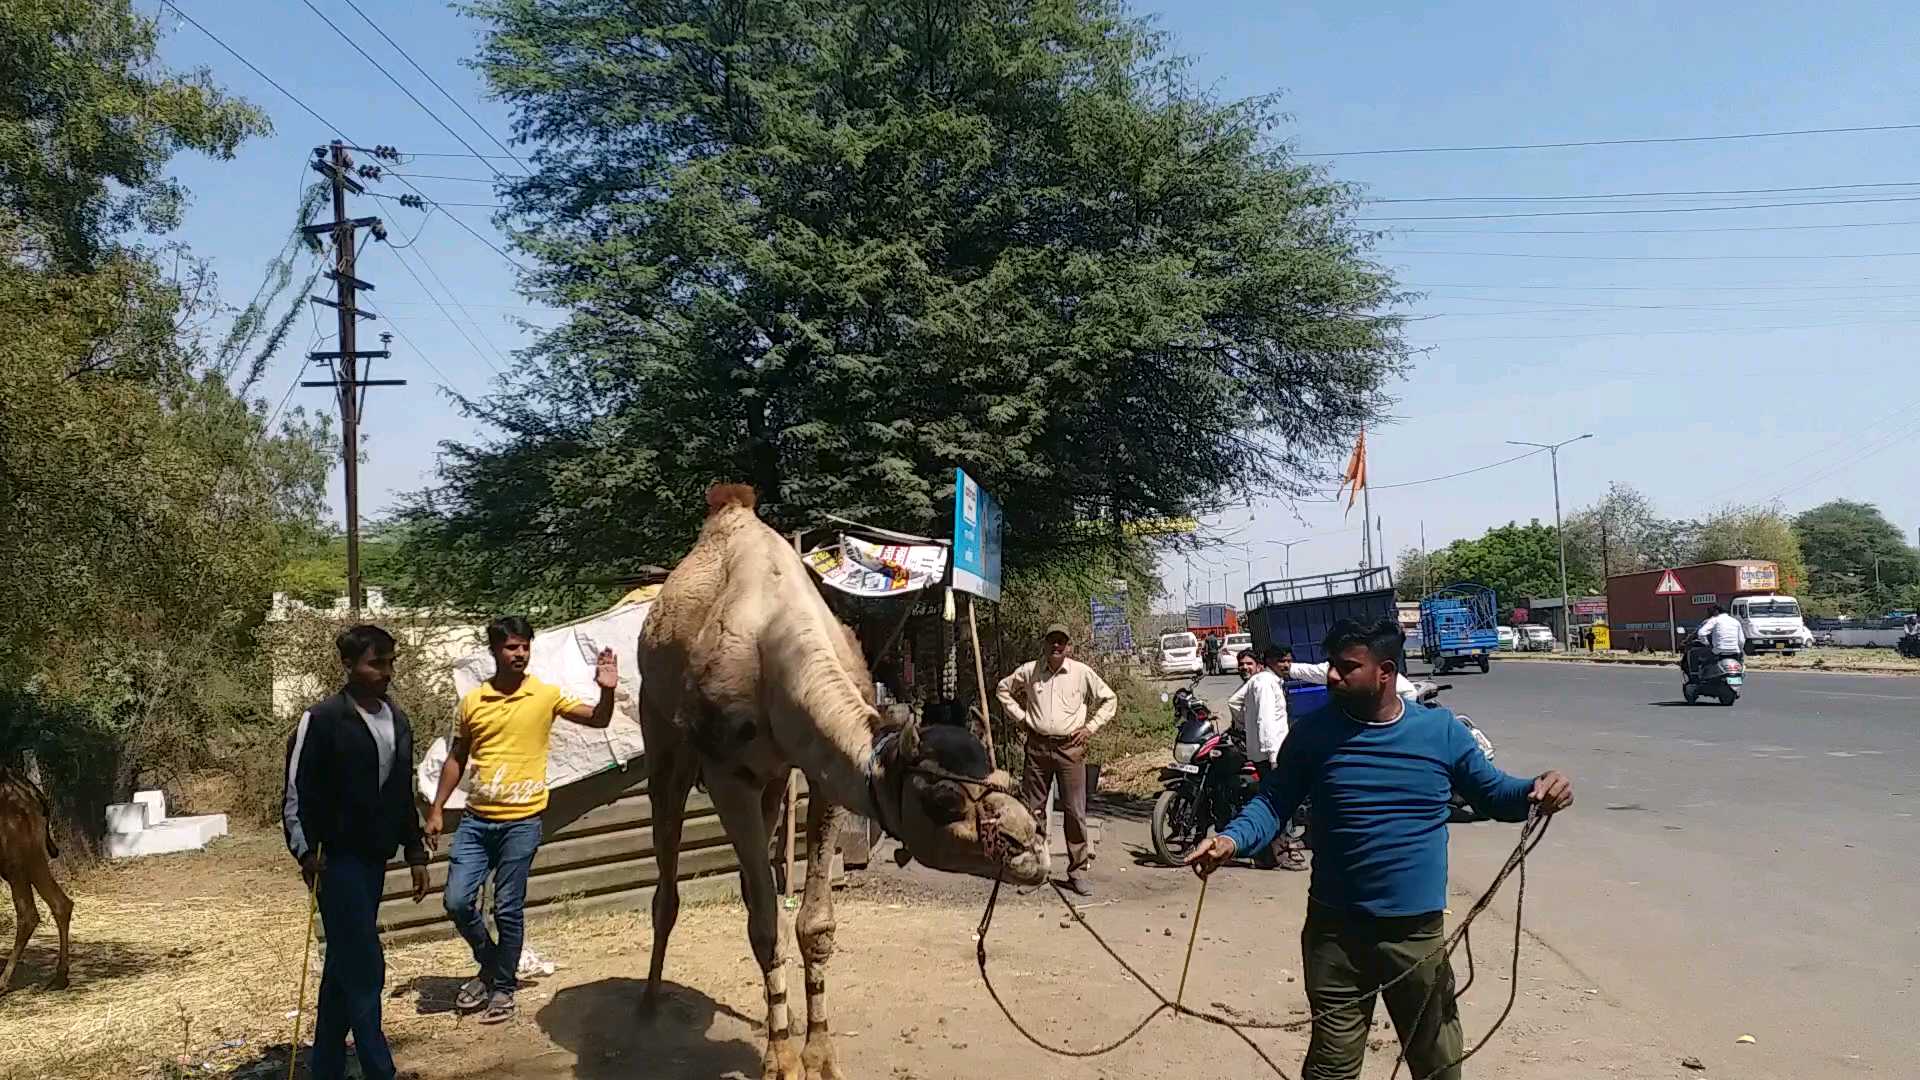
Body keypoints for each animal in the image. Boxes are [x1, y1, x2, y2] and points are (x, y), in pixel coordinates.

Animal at [637, 484, 1044, 1068]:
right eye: (944, 799)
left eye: (1005, 780)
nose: (1031, 846)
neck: (776, 649)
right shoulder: (727, 774)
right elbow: (767, 924)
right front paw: (781, 1060)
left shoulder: (822, 775)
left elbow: (813, 924)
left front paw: (817, 1052)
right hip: (660, 738)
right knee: (667, 870)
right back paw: (648, 1005)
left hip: (772, 779)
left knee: (751, 874)